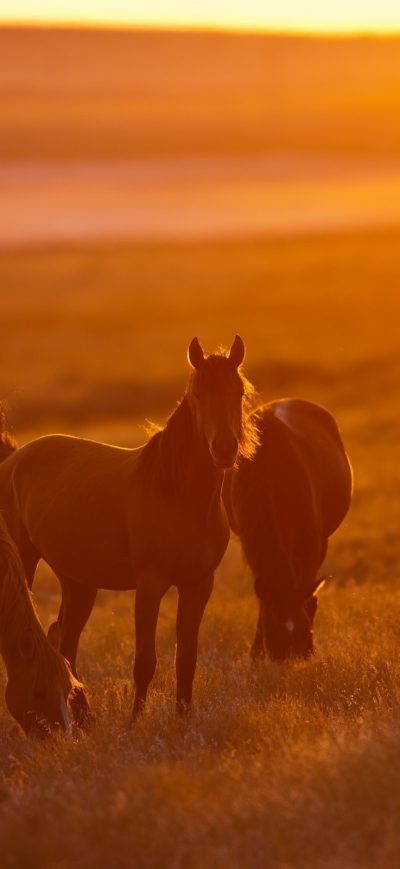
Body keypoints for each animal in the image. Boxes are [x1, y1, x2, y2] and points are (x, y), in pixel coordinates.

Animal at [223, 398, 353, 662]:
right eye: (271, 626)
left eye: (302, 628)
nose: (286, 655)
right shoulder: (249, 541)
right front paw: (256, 653)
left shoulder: (312, 540)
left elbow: (307, 588)